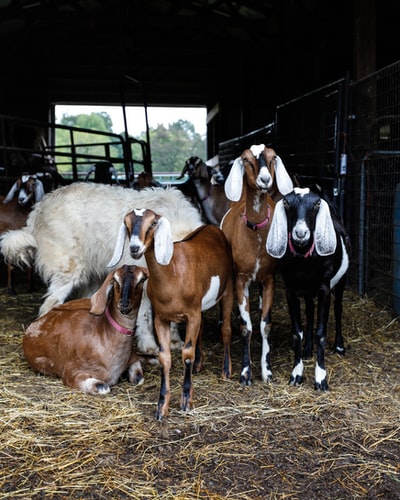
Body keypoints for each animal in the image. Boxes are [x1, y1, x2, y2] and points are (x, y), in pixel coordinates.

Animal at [21, 266, 148, 394]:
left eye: (141, 280)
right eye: (115, 280)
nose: (124, 304)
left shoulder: (132, 357)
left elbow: (139, 378)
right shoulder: (72, 371)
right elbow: (104, 387)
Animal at [108, 209, 236, 420]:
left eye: (152, 223)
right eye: (127, 224)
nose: (134, 248)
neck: (173, 272)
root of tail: (211, 227)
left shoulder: (192, 314)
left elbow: (187, 353)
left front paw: (186, 401)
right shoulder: (161, 318)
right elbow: (164, 357)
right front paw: (161, 407)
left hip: (227, 291)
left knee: (225, 329)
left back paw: (226, 370)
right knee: (201, 330)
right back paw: (199, 365)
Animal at [220, 145, 292, 386]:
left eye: (273, 158)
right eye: (246, 160)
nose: (265, 180)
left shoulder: (269, 279)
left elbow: (265, 325)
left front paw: (266, 371)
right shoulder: (241, 279)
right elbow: (246, 328)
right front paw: (245, 373)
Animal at [268, 187, 348, 390]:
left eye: (317, 204)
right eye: (286, 202)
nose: (301, 233)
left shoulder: (324, 288)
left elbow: (321, 333)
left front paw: (321, 379)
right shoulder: (290, 290)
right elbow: (297, 333)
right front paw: (296, 374)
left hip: (341, 280)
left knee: (338, 308)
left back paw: (339, 345)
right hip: (307, 291)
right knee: (310, 310)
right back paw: (308, 349)